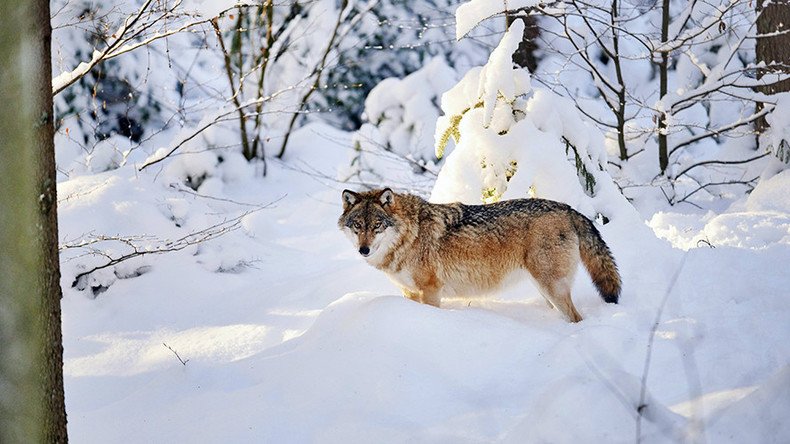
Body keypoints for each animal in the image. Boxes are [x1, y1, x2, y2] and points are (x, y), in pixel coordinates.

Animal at [338, 188, 620, 322]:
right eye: (358, 226)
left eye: (377, 225)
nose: (364, 249)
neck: (411, 235)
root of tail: (570, 209)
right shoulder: (409, 293)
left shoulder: (431, 290)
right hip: (545, 290)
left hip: (552, 288)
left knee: (576, 318)